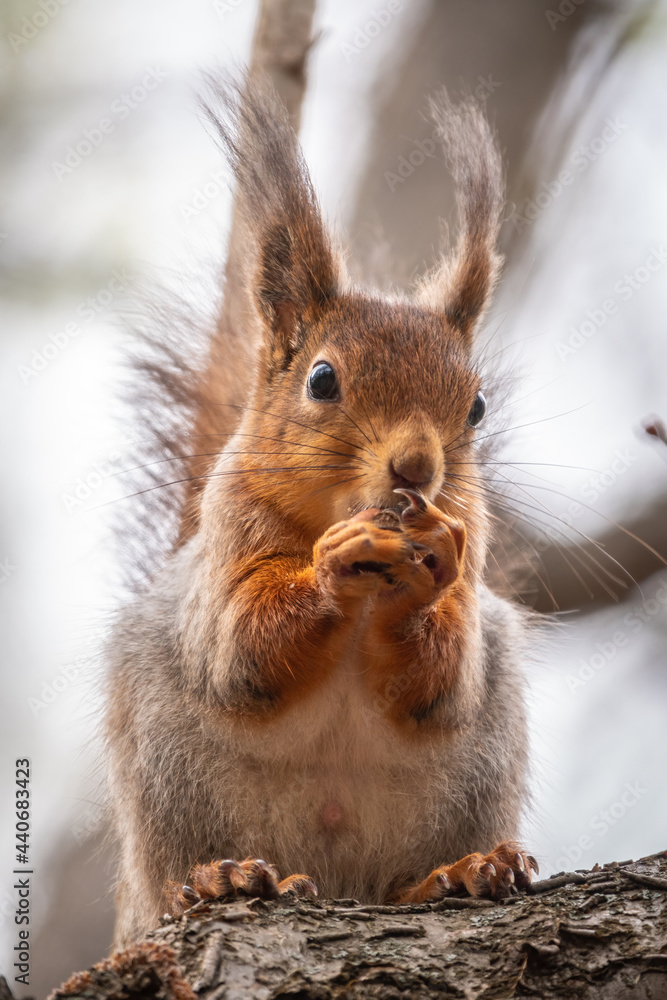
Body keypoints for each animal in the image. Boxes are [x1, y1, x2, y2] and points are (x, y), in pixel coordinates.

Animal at [105, 73, 538, 948]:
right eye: (322, 380)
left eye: (475, 406)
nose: (416, 468)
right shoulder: (228, 549)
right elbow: (244, 645)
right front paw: (330, 566)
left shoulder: (469, 568)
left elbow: (440, 674)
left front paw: (419, 580)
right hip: (163, 780)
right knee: (172, 874)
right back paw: (217, 879)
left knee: (406, 879)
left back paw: (459, 871)